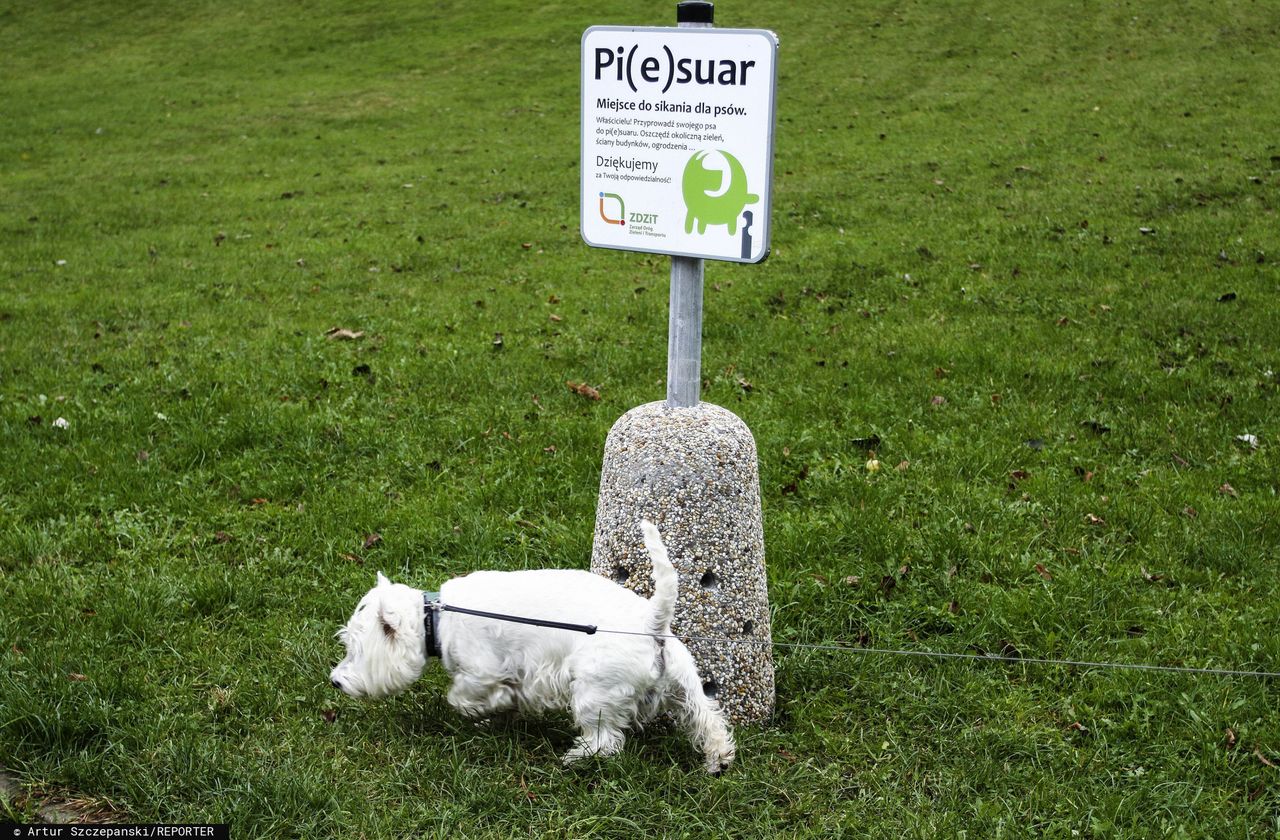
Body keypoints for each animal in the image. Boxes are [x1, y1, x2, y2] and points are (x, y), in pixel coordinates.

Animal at [325, 517, 737, 773]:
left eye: (354, 649)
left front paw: (491, 708)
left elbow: (463, 696)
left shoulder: (483, 669)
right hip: (683, 684)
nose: (335, 681)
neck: (435, 620)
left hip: (594, 691)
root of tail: (652, 621)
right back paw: (718, 760)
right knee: (708, 719)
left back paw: (576, 757)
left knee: (606, 739)